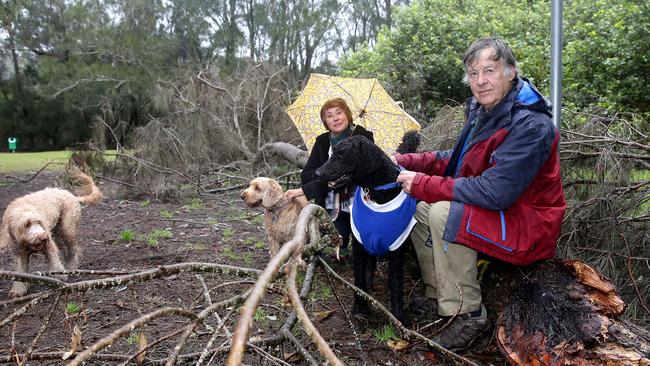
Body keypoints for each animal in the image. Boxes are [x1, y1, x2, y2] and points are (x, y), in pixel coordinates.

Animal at [0, 169, 102, 298]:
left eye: (39, 222)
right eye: (26, 225)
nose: (44, 237)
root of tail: (71, 195)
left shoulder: (49, 246)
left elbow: (54, 261)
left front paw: (60, 277)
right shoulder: (20, 254)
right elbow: (20, 271)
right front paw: (18, 290)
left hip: (67, 229)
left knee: (74, 248)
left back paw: (72, 265)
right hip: (56, 234)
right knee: (65, 250)